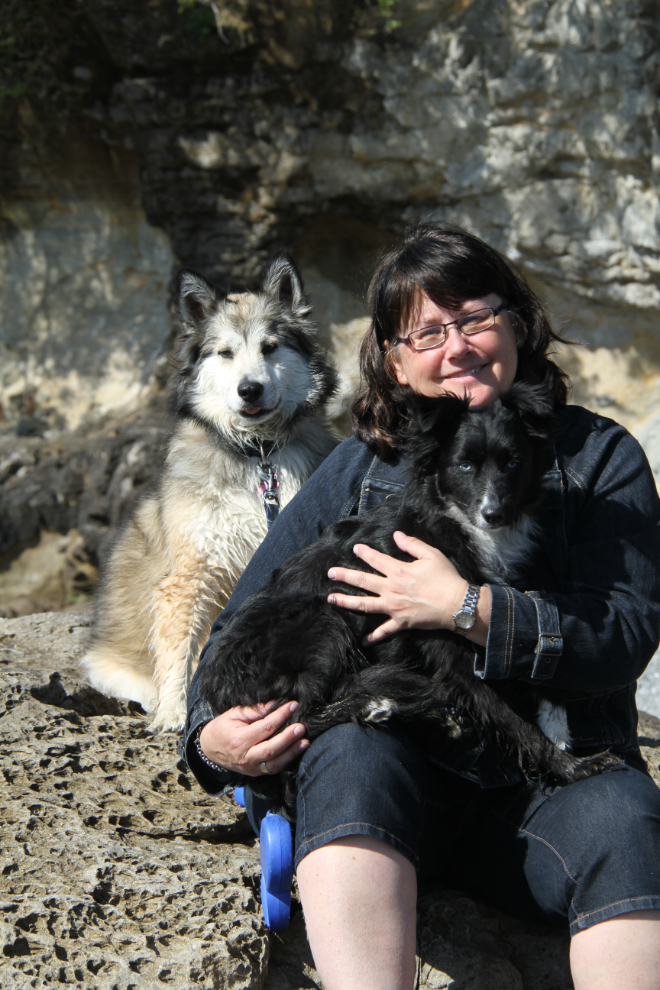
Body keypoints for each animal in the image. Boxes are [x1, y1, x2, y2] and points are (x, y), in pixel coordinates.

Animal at [199, 382, 620, 812]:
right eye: (464, 466)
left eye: (512, 463)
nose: (494, 514)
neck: (457, 524)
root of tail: (217, 689)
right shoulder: (451, 655)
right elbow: (513, 721)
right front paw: (572, 766)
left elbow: (532, 639)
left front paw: (557, 718)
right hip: (323, 623)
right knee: (296, 720)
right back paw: (380, 706)